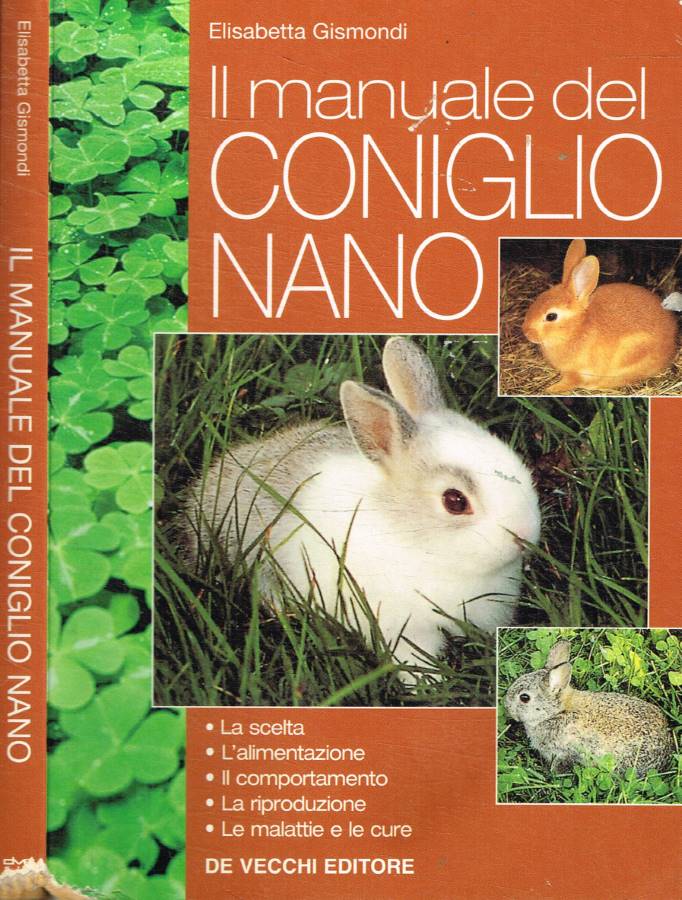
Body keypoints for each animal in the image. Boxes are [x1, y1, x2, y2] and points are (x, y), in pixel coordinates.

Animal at [522, 239, 678, 393]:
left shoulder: (577, 372)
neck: (576, 328)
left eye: (551, 316)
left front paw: (551, 389)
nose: (526, 332)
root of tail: (671, 347)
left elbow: (570, 382)